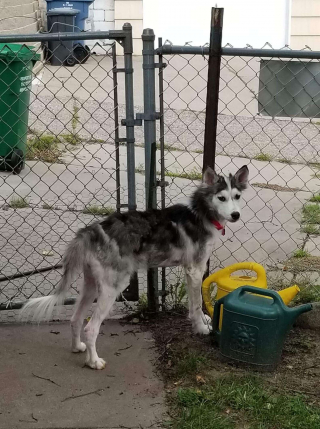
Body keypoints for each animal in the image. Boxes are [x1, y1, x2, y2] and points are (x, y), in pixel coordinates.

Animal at [21, 164, 249, 368]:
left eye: (237, 196)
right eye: (221, 198)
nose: (236, 215)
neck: (201, 213)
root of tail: (93, 230)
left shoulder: (191, 271)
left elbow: (195, 303)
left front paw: (202, 322)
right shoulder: (195, 269)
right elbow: (196, 303)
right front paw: (201, 328)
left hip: (91, 286)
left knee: (76, 319)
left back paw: (77, 347)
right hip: (112, 289)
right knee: (90, 328)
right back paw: (94, 362)